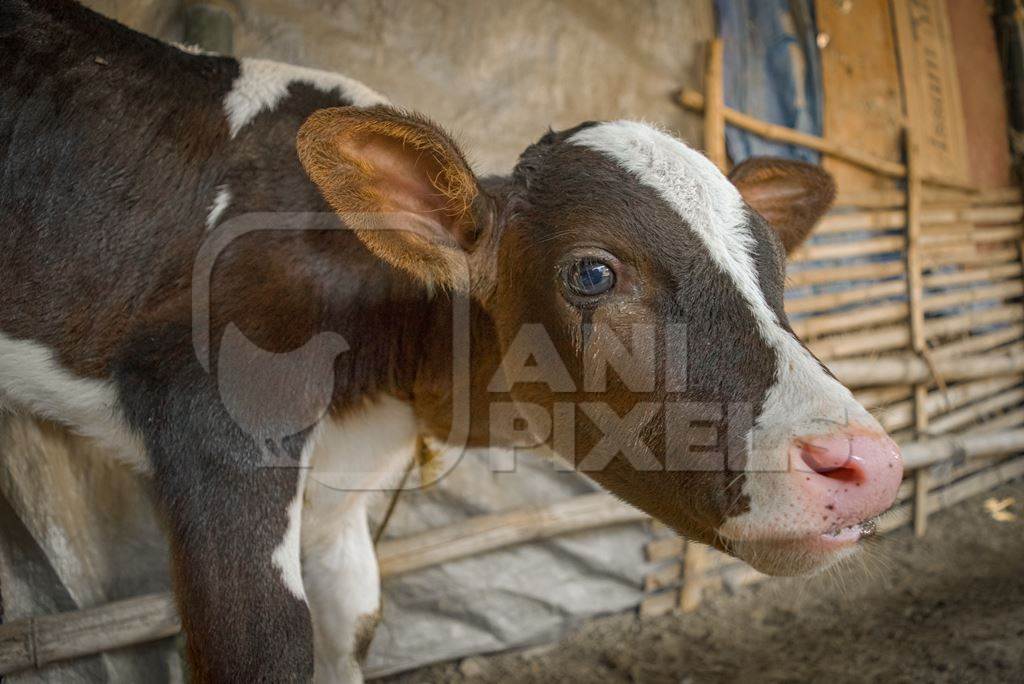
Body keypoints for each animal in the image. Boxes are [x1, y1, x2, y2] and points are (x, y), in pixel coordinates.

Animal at [4, 2, 905, 679]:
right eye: (593, 274)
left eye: (776, 265)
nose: (863, 461)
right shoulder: (217, 430)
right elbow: (262, 653)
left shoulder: (337, 492)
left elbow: (352, 625)